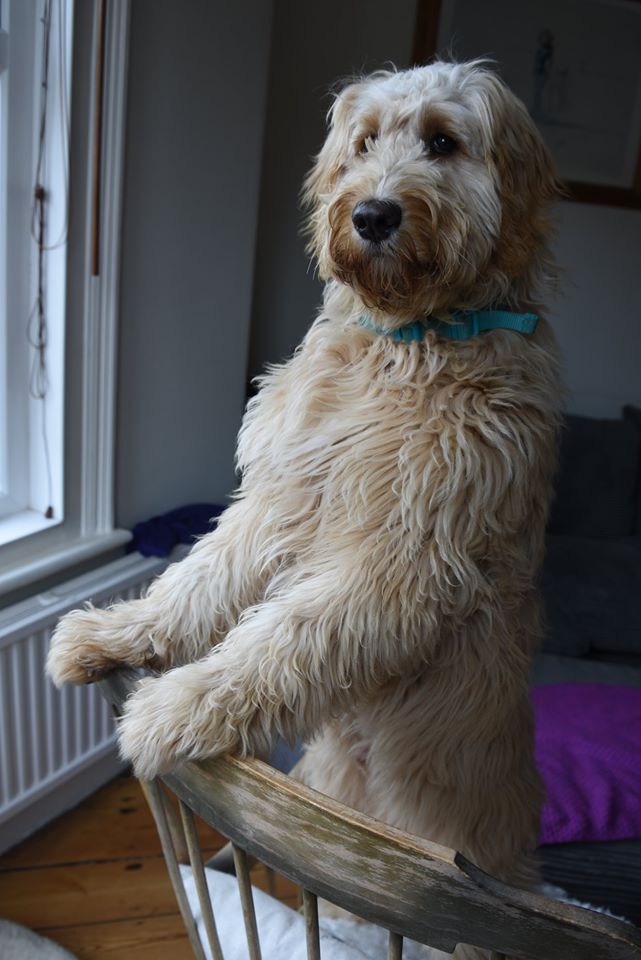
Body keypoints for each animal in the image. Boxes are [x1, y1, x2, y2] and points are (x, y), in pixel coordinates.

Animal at [47, 60, 560, 908]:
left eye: (443, 142)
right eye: (365, 141)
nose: (374, 213)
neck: (410, 343)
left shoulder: (402, 558)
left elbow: (283, 639)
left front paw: (177, 707)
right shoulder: (282, 496)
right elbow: (196, 581)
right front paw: (117, 634)